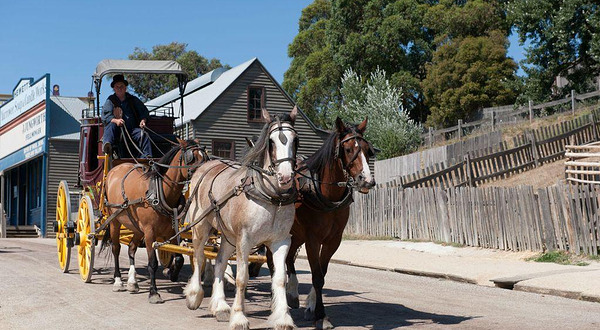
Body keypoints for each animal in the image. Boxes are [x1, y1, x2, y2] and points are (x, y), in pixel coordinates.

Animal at [102, 138, 207, 302]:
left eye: (205, 156)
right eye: (192, 157)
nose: (205, 172)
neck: (159, 192)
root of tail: (114, 170)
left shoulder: (172, 231)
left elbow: (179, 258)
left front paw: (171, 272)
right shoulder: (149, 232)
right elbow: (152, 263)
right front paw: (153, 292)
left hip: (136, 227)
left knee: (131, 247)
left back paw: (132, 282)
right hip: (115, 222)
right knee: (116, 248)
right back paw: (118, 281)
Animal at [282, 117, 376, 328]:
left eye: (367, 150)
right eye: (347, 149)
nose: (367, 181)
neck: (327, 195)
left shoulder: (334, 240)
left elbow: (322, 274)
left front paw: (312, 307)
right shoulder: (313, 239)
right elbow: (316, 277)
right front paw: (322, 315)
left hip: (296, 235)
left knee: (289, 257)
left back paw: (292, 293)